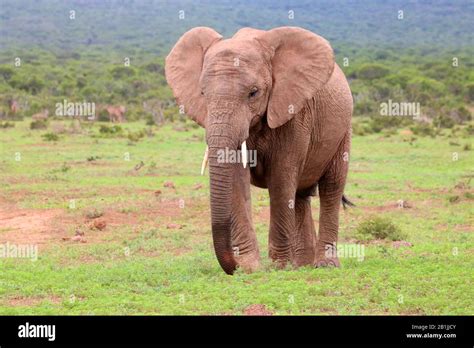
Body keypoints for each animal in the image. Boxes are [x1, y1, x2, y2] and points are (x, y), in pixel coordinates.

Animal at [165, 26, 354, 274]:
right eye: (203, 94)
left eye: (253, 93)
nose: (232, 267)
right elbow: (237, 180)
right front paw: (250, 267)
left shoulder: (293, 111)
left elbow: (281, 179)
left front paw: (279, 266)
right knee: (301, 196)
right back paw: (302, 265)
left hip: (344, 130)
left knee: (331, 187)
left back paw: (324, 265)